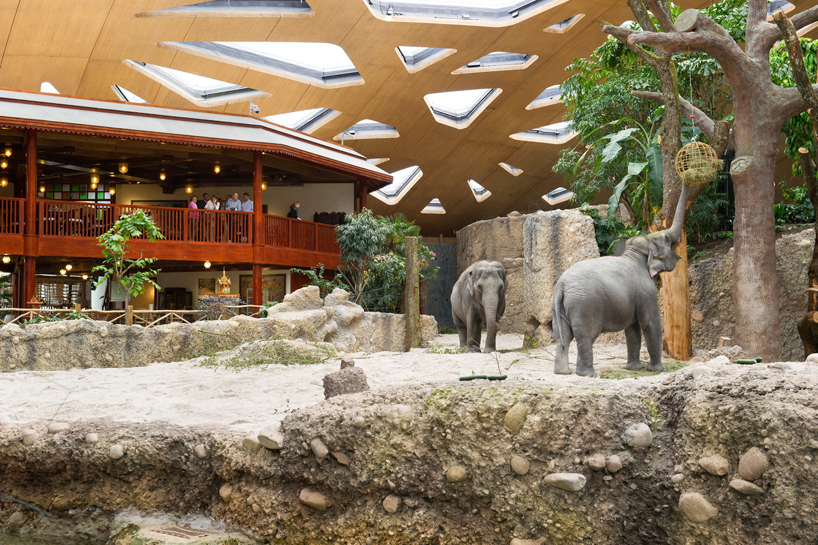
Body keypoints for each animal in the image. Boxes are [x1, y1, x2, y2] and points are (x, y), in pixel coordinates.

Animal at [551, 183, 690, 377]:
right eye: (667, 240)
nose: (686, 181)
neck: (635, 254)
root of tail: (561, 286)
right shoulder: (646, 293)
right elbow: (649, 323)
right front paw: (658, 369)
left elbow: (632, 329)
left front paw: (635, 368)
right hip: (585, 305)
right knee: (586, 336)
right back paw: (589, 374)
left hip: (558, 307)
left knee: (562, 335)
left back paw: (563, 373)